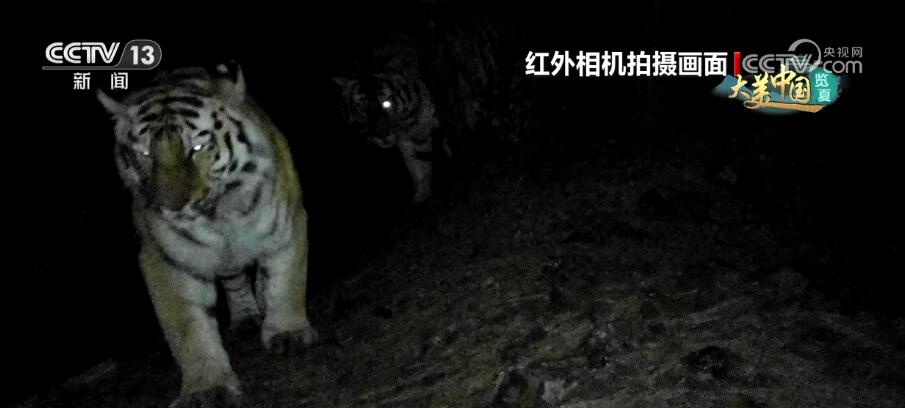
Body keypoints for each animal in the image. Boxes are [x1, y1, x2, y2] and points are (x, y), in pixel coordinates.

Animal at [97, 63, 318, 407]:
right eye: (145, 154)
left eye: (197, 148)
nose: (171, 205)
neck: (220, 214)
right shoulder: (167, 258)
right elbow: (188, 329)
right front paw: (207, 388)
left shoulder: (287, 223)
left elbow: (285, 281)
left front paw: (288, 333)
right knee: (234, 279)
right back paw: (246, 316)